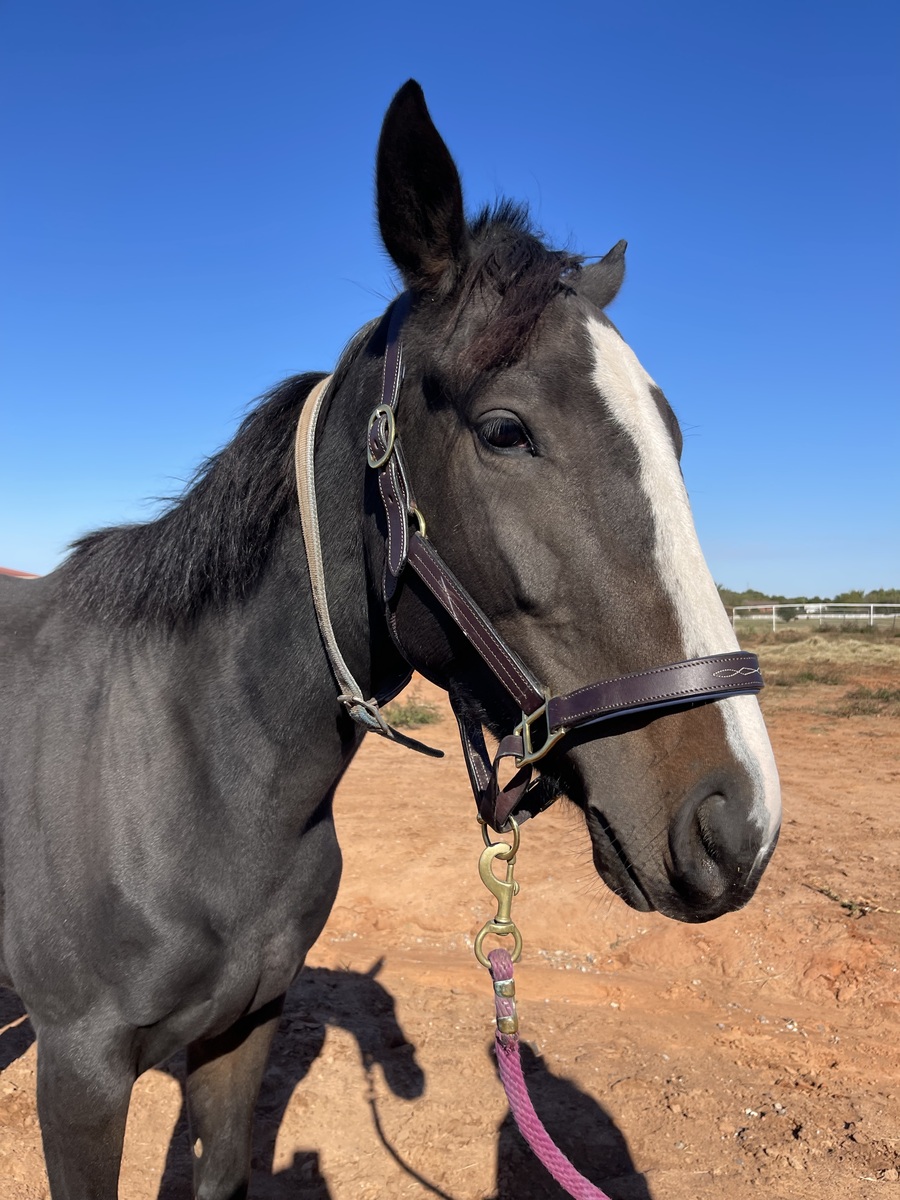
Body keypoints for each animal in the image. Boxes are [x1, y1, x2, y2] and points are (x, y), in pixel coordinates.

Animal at [0, 80, 781, 1198]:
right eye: (505, 431)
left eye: (670, 436)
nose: (739, 823)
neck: (186, 767)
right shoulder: (81, 1076)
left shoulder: (243, 1030)